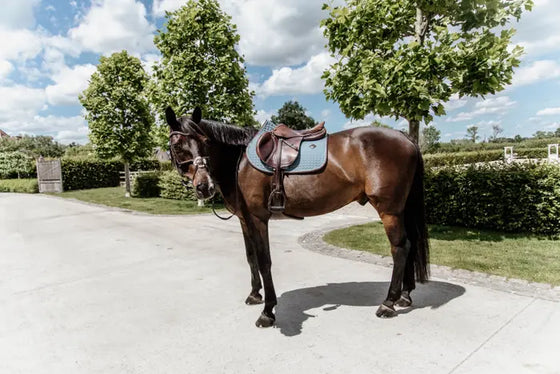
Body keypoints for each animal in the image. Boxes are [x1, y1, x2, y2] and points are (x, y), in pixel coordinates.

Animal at [165, 106, 428, 328]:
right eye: (177, 145)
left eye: (205, 142)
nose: (204, 187)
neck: (239, 161)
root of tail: (406, 138)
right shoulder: (245, 219)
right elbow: (251, 258)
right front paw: (255, 294)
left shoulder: (259, 218)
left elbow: (264, 261)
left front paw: (268, 311)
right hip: (401, 210)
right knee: (409, 245)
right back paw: (404, 296)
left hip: (389, 211)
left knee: (400, 248)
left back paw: (388, 303)